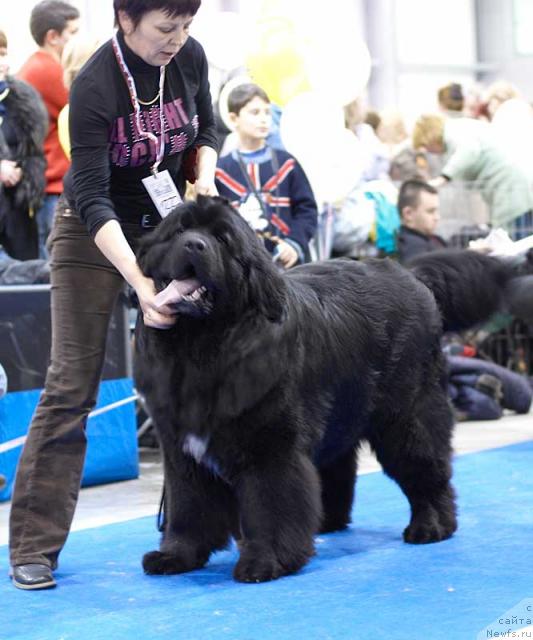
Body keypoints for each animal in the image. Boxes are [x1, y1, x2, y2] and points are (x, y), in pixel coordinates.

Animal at [134, 198, 520, 584]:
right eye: (180, 231)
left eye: (222, 239)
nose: (194, 245)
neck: (203, 345)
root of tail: (412, 276)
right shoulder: (182, 450)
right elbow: (188, 505)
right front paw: (177, 555)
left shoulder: (271, 446)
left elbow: (270, 502)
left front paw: (266, 561)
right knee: (337, 468)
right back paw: (326, 524)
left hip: (406, 417)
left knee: (426, 470)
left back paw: (431, 526)